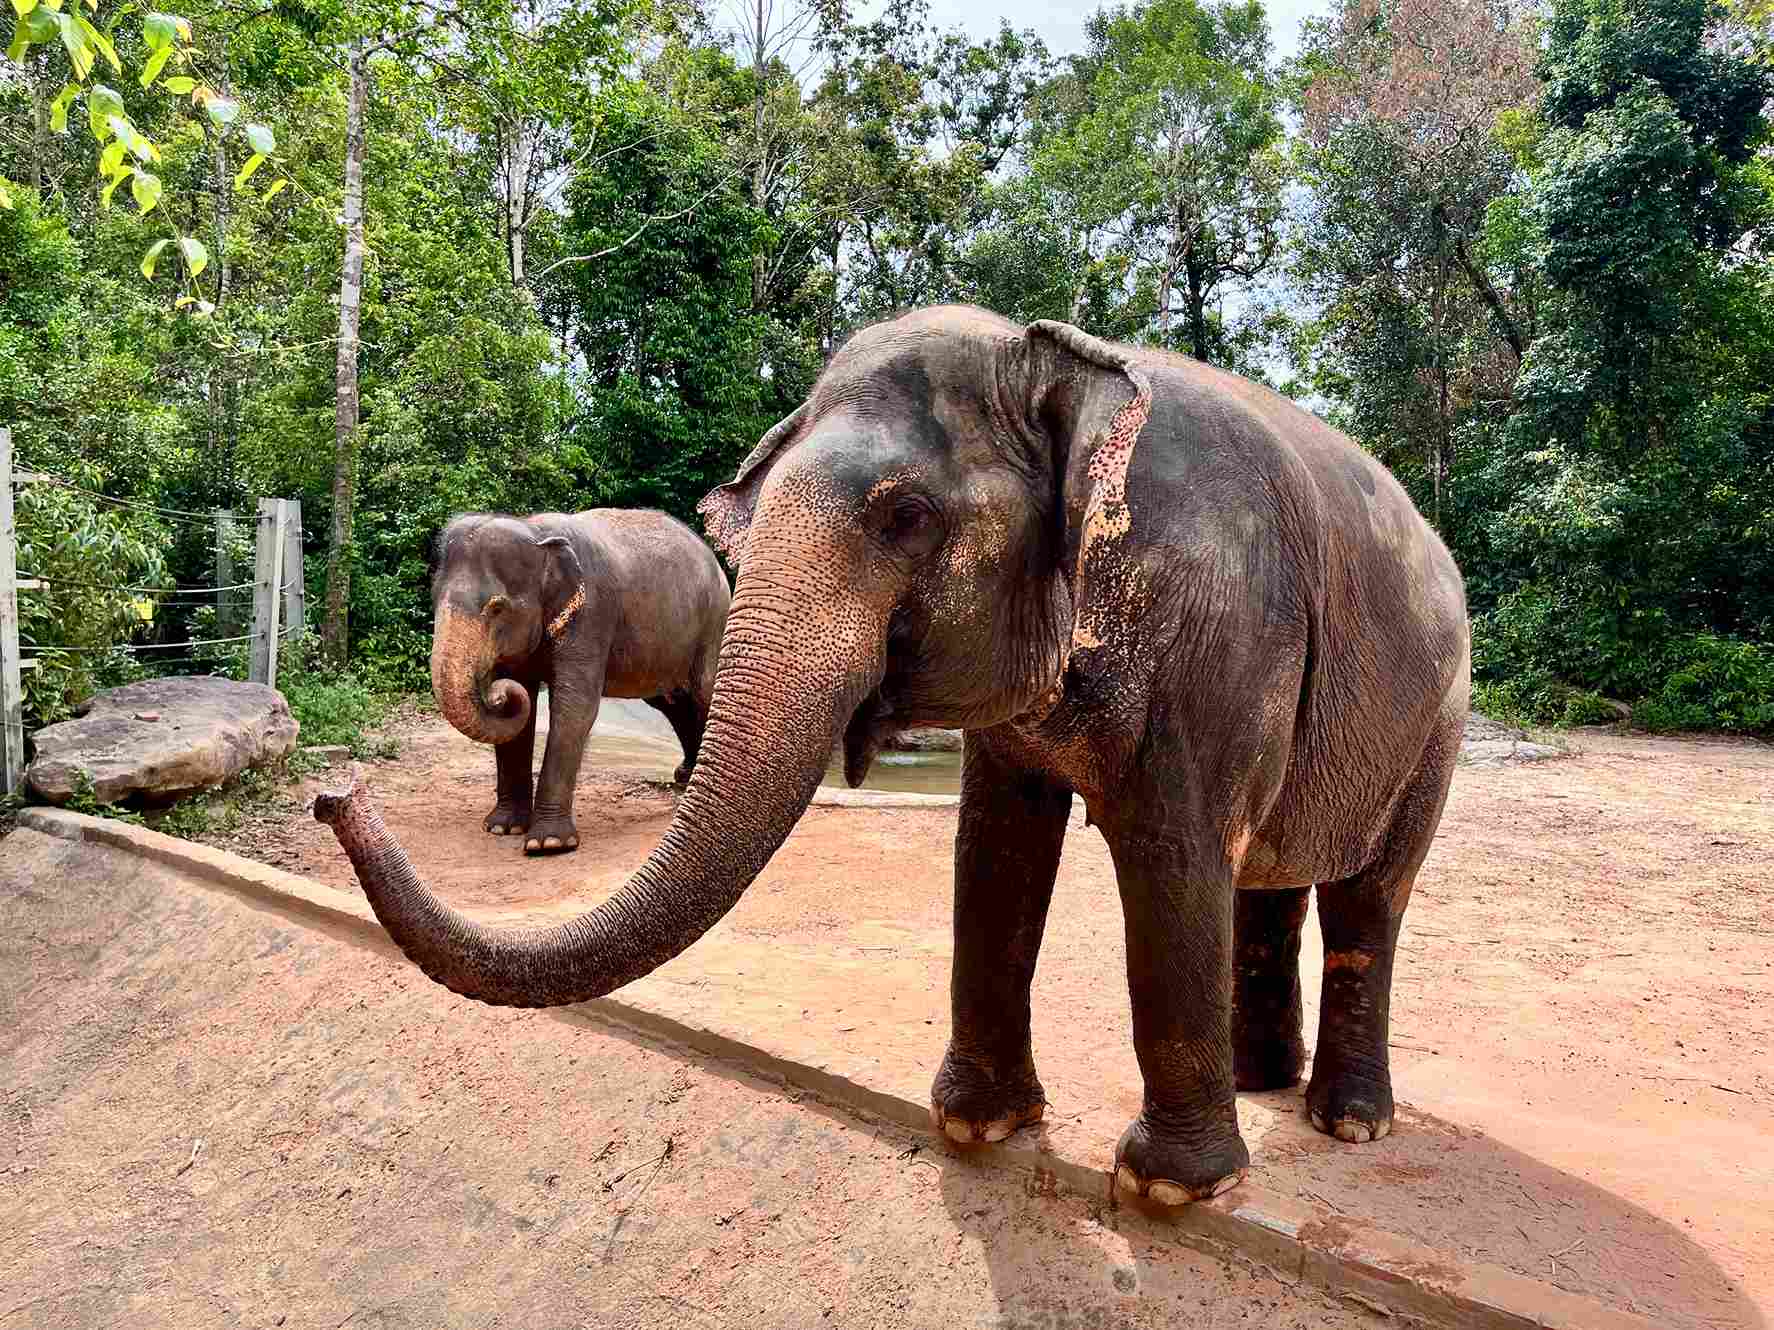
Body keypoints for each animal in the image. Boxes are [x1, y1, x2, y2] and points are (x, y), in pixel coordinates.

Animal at [429, 503, 727, 858]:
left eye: (497, 608)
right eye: (433, 596)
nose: (497, 694)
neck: (536, 532)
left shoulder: (591, 616)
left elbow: (575, 708)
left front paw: (548, 844)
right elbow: (522, 714)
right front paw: (502, 828)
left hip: (713, 624)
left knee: (704, 694)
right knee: (672, 703)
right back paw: (686, 776)